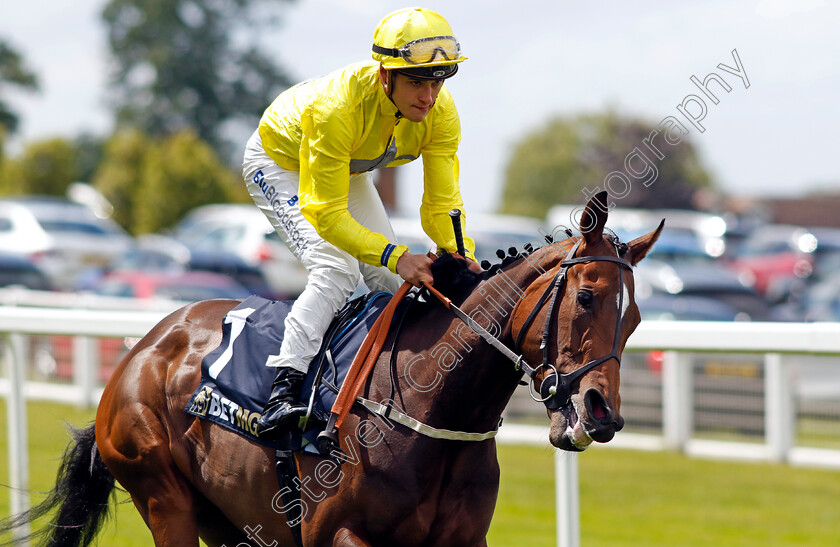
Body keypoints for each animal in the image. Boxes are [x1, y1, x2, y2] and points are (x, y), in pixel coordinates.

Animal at [4, 192, 664, 544]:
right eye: (586, 298)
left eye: (634, 319)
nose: (602, 414)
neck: (431, 410)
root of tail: (142, 350)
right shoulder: (336, 533)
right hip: (163, 494)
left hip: (229, 516)